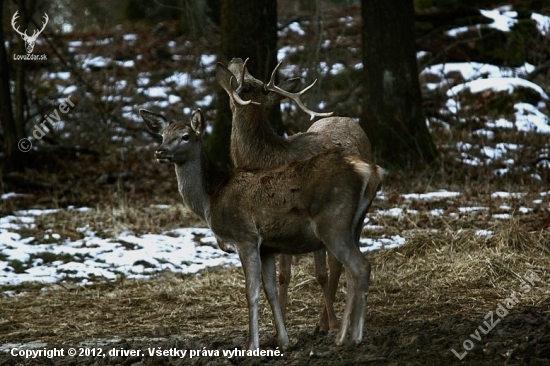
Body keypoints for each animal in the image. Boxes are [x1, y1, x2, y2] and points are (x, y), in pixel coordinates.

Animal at [140, 108, 386, 348]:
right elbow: (271, 291)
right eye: (163, 135)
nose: (160, 151)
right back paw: (347, 334)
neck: (211, 199)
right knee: (353, 271)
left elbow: (251, 292)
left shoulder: (245, 237)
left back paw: (349, 337)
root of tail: (371, 171)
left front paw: (252, 345)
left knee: (359, 267)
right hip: (355, 223)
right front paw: (284, 341)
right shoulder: (267, 247)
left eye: (185, 136)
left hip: (333, 222)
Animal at [216, 57, 376, 332]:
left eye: (246, 81)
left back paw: (328, 321)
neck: (269, 159)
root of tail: (351, 120)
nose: (235, 59)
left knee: (339, 262)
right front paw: (279, 322)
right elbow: (284, 275)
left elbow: (320, 272)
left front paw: (329, 324)